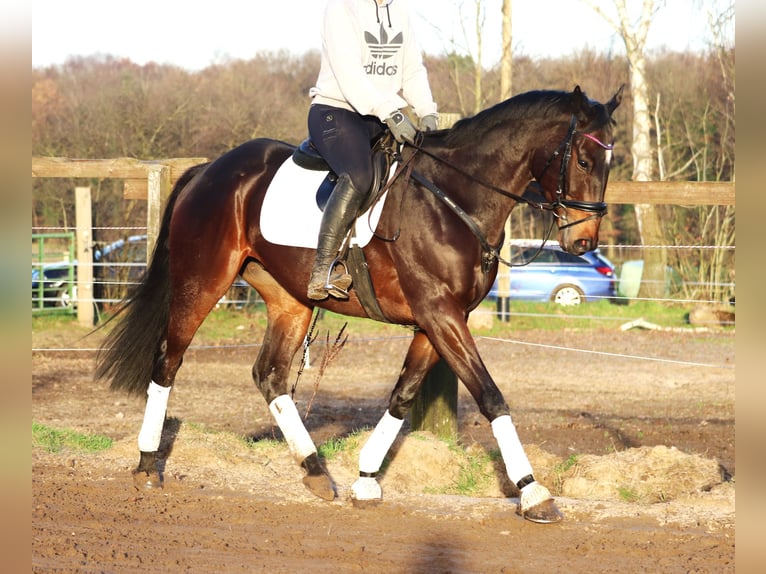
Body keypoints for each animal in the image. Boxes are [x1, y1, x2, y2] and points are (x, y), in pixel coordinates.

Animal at [96, 86, 624, 528]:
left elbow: (402, 396)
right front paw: (534, 493)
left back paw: (314, 470)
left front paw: (367, 479)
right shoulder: (441, 314)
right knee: (168, 360)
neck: (456, 199)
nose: (583, 242)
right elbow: (491, 396)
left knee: (270, 375)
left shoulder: (435, 321)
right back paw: (147, 465)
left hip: (290, 300)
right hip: (202, 282)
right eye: (582, 159)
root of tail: (208, 171)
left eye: (610, 161)